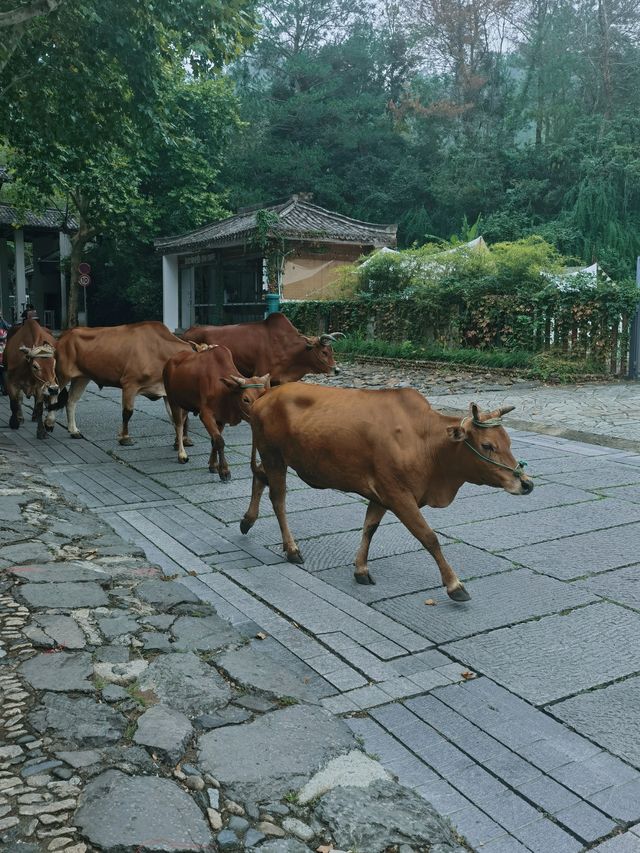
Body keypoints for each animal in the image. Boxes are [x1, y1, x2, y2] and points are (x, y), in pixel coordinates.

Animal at [54, 320, 195, 446]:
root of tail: (66, 334)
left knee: (71, 401)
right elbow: (127, 412)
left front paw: (182, 441)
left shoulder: (165, 391)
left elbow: (178, 417)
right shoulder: (129, 384)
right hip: (61, 376)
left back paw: (74, 431)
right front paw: (125, 438)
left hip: (81, 378)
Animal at [164, 344, 272, 480]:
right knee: (178, 424)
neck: (224, 390)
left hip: (185, 403)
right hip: (173, 401)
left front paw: (213, 465)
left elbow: (214, 440)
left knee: (183, 421)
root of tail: (170, 360)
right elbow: (219, 441)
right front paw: (224, 471)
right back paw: (182, 454)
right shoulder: (206, 415)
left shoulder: (221, 418)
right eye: (245, 399)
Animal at [242, 386, 532, 600]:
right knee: (278, 499)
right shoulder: (398, 494)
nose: (526, 484)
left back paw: (247, 520)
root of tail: (266, 394)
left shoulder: (381, 493)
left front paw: (361, 569)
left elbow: (369, 528)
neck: (425, 442)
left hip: (275, 458)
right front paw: (454, 584)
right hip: (273, 455)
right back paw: (291, 548)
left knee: (259, 477)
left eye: (509, 442)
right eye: (487, 445)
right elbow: (429, 537)